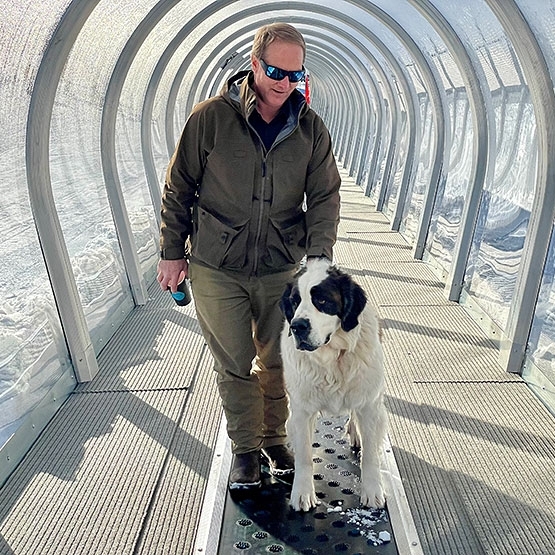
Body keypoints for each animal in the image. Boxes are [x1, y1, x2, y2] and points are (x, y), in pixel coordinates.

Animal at [280, 260, 388, 512]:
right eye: (295, 301)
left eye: (321, 300)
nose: (297, 326)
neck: (332, 358)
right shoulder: (302, 410)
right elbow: (305, 455)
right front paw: (302, 493)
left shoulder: (370, 403)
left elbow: (371, 455)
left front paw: (372, 491)